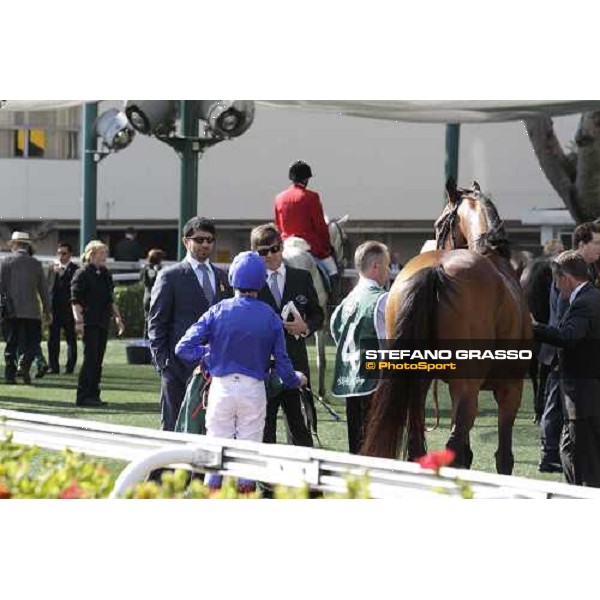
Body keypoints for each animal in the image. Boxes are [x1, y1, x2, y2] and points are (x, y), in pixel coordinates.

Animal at [360, 180, 528, 476]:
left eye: (439, 225)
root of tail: (437, 268)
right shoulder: (510, 389)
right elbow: (503, 458)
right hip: (468, 388)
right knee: (454, 446)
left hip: (418, 383)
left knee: (418, 445)